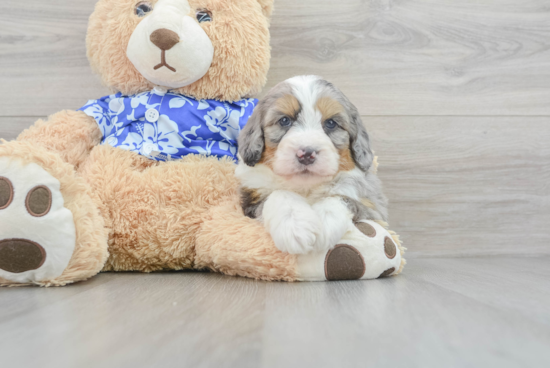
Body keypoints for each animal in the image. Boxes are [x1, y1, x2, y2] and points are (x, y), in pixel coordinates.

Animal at [235, 76, 404, 280]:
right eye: (285, 120)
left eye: (331, 123)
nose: (306, 153)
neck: (306, 187)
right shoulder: (249, 200)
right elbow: (278, 194)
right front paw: (295, 226)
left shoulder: (375, 210)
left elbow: (342, 198)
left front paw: (322, 223)